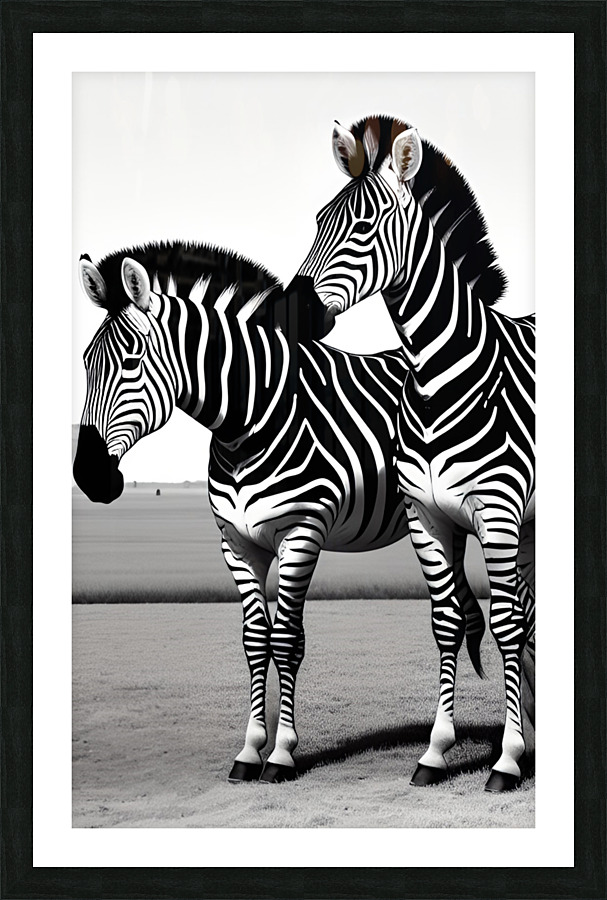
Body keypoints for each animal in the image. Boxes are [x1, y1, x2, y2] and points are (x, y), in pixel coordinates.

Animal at [73, 240, 487, 783]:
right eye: (85, 363)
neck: (248, 421)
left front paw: (282, 754)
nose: (88, 477)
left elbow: (287, 638)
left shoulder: (301, 531)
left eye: (132, 361)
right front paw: (249, 751)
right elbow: (255, 641)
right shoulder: (236, 543)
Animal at [296, 116, 535, 792]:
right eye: (318, 220)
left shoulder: (498, 513)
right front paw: (435, 752)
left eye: (363, 228)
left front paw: (507, 760)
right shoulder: (427, 516)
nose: (295, 312)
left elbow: (504, 624)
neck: (437, 378)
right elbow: (447, 620)